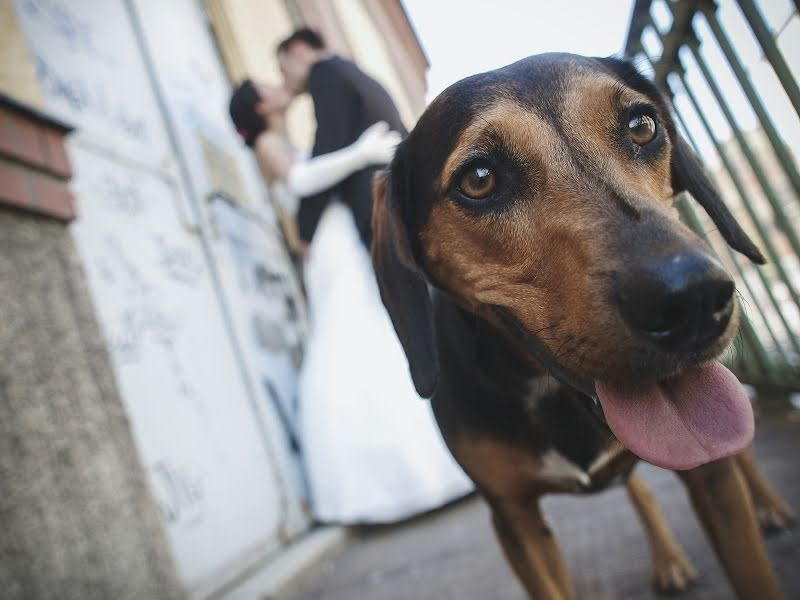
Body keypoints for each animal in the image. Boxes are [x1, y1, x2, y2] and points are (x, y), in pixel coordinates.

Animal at [370, 54, 792, 596]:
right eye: (479, 178)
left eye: (641, 126)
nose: (694, 298)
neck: (549, 391)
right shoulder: (513, 518)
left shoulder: (711, 471)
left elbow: (752, 567)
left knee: (740, 452)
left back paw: (768, 506)